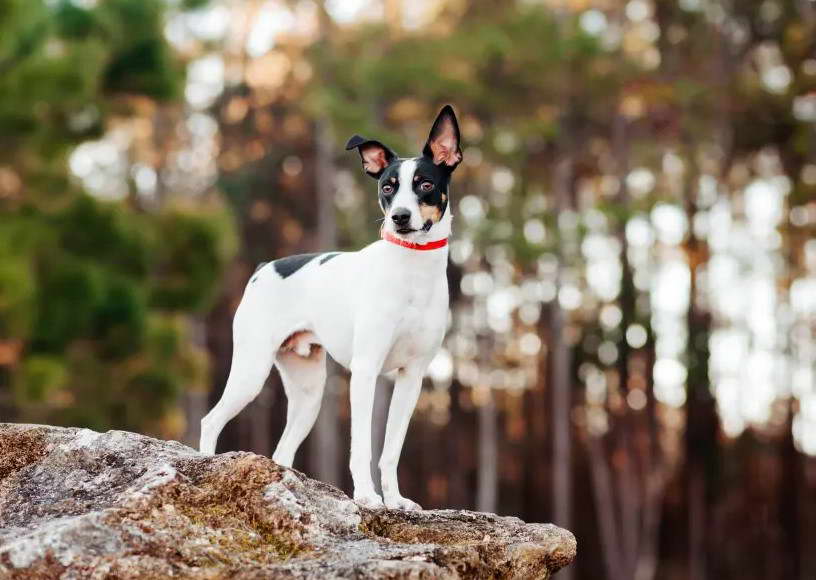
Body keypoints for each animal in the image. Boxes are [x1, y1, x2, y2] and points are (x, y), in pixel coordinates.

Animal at [200, 105, 462, 512]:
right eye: (387, 187)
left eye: (425, 184)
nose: (400, 217)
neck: (411, 269)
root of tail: (263, 269)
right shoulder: (366, 372)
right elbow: (362, 448)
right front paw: (368, 496)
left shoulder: (412, 377)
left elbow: (390, 450)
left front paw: (395, 499)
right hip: (250, 371)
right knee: (210, 421)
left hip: (308, 394)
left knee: (282, 451)